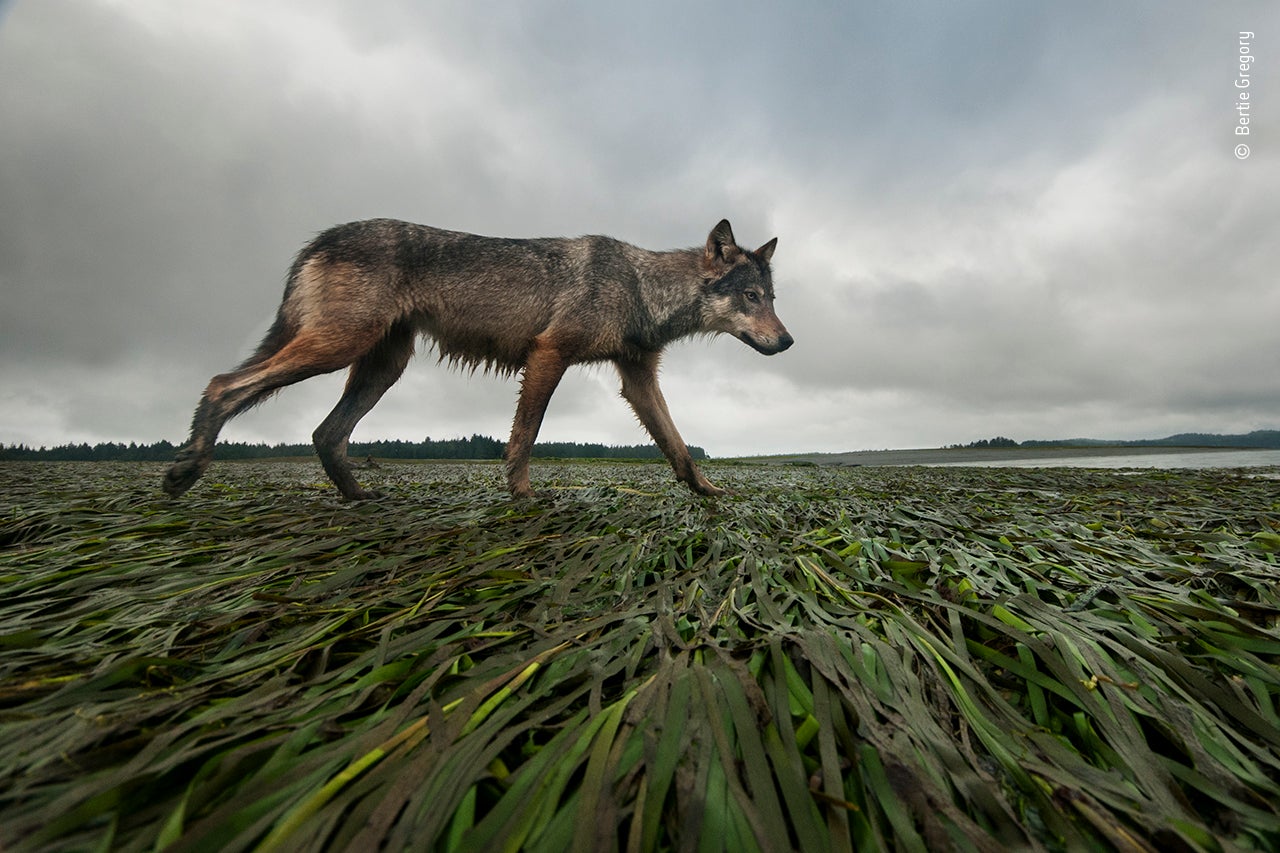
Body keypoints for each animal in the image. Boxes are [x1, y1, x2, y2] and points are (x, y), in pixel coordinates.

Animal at [162, 217, 788, 499]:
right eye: (750, 297)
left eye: (773, 298)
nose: (787, 343)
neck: (640, 287)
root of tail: (319, 238)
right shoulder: (548, 355)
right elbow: (525, 436)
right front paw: (523, 497)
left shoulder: (637, 379)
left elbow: (677, 444)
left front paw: (709, 494)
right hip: (338, 349)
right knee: (222, 384)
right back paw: (185, 469)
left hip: (380, 367)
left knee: (324, 432)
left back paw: (361, 499)